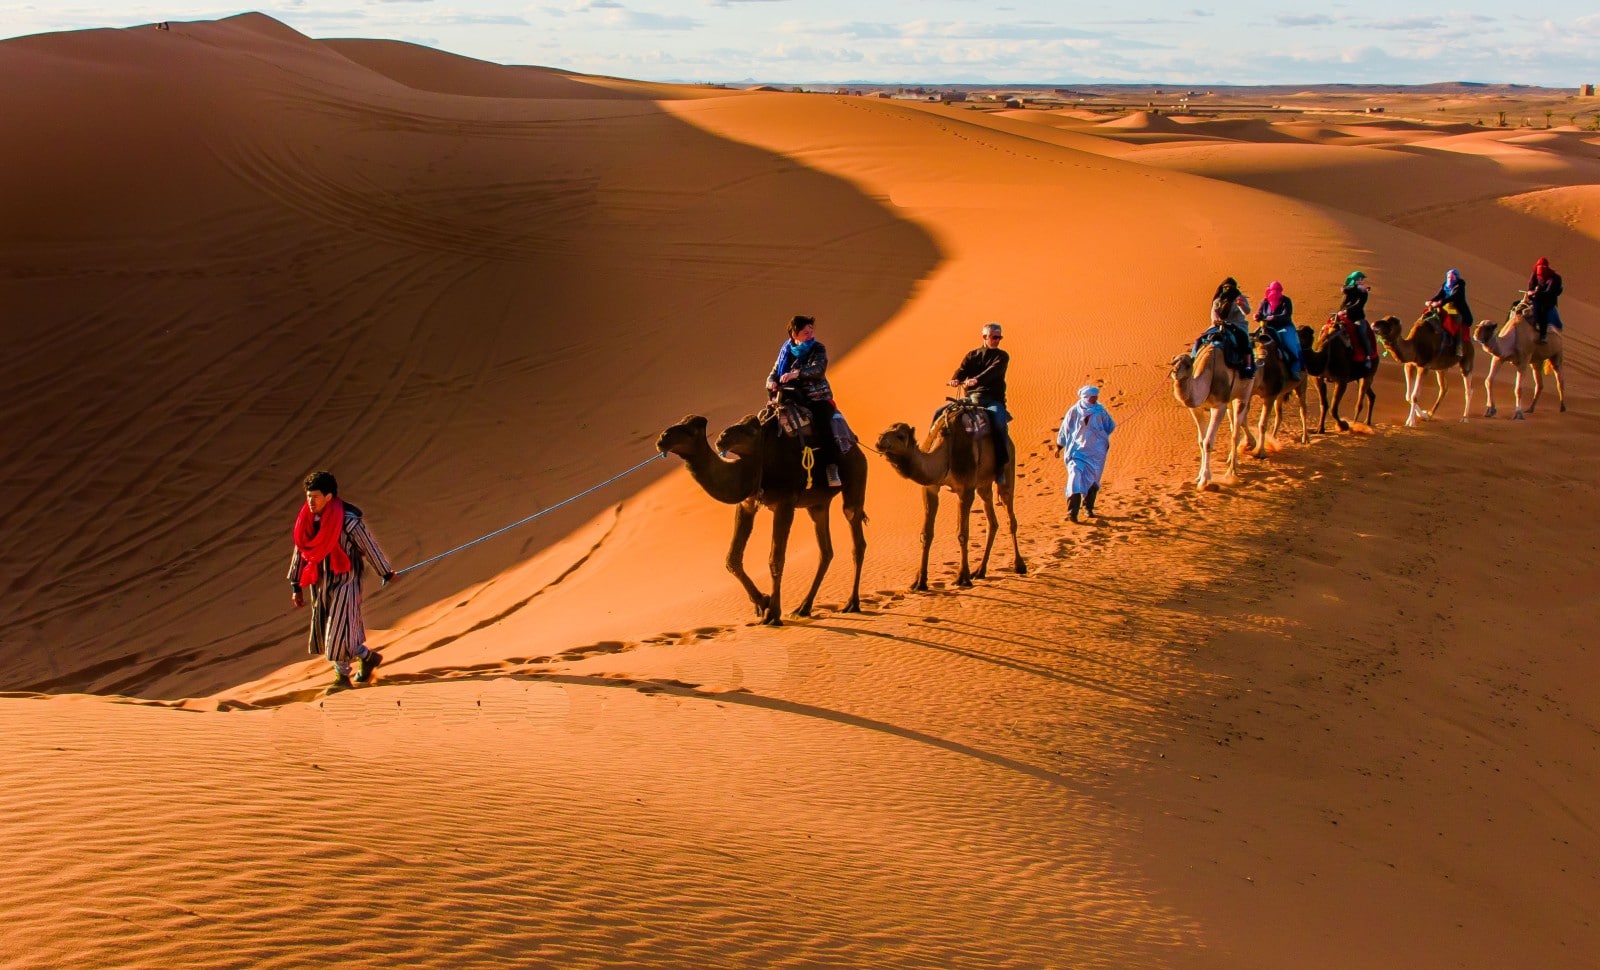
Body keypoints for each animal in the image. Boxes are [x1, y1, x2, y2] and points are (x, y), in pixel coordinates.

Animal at [656, 412, 870, 627]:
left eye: (690, 431)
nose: (663, 438)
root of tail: (857, 448)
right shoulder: (747, 502)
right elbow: (732, 559)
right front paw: (762, 602)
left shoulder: (785, 503)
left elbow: (776, 559)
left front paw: (773, 613)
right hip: (817, 504)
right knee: (825, 551)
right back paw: (803, 608)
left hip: (855, 477)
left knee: (855, 535)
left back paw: (852, 603)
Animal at [876, 404, 1024, 592]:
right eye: (885, 429)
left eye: (900, 436)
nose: (880, 440)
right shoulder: (930, 488)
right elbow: (926, 534)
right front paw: (919, 582)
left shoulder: (965, 489)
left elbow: (962, 533)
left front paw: (962, 578)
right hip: (983, 483)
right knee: (992, 521)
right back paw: (980, 570)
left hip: (1006, 469)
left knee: (1010, 516)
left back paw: (1019, 565)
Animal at [1171, 344, 1254, 493]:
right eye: (1173, 363)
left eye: (1187, 365)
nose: (1175, 372)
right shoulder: (1196, 408)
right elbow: (1201, 441)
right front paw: (1200, 476)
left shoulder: (1219, 406)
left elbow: (1208, 443)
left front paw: (1204, 481)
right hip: (1230, 400)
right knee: (1233, 426)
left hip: (1244, 393)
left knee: (1235, 432)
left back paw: (1232, 472)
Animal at [1241, 328, 1305, 457]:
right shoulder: (1250, 394)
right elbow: (1243, 419)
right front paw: (1249, 444)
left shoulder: (1270, 396)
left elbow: (1262, 424)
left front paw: (1260, 452)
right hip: (1280, 394)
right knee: (1279, 415)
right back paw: (1274, 438)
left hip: (1301, 383)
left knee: (1303, 409)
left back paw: (1306, 439)